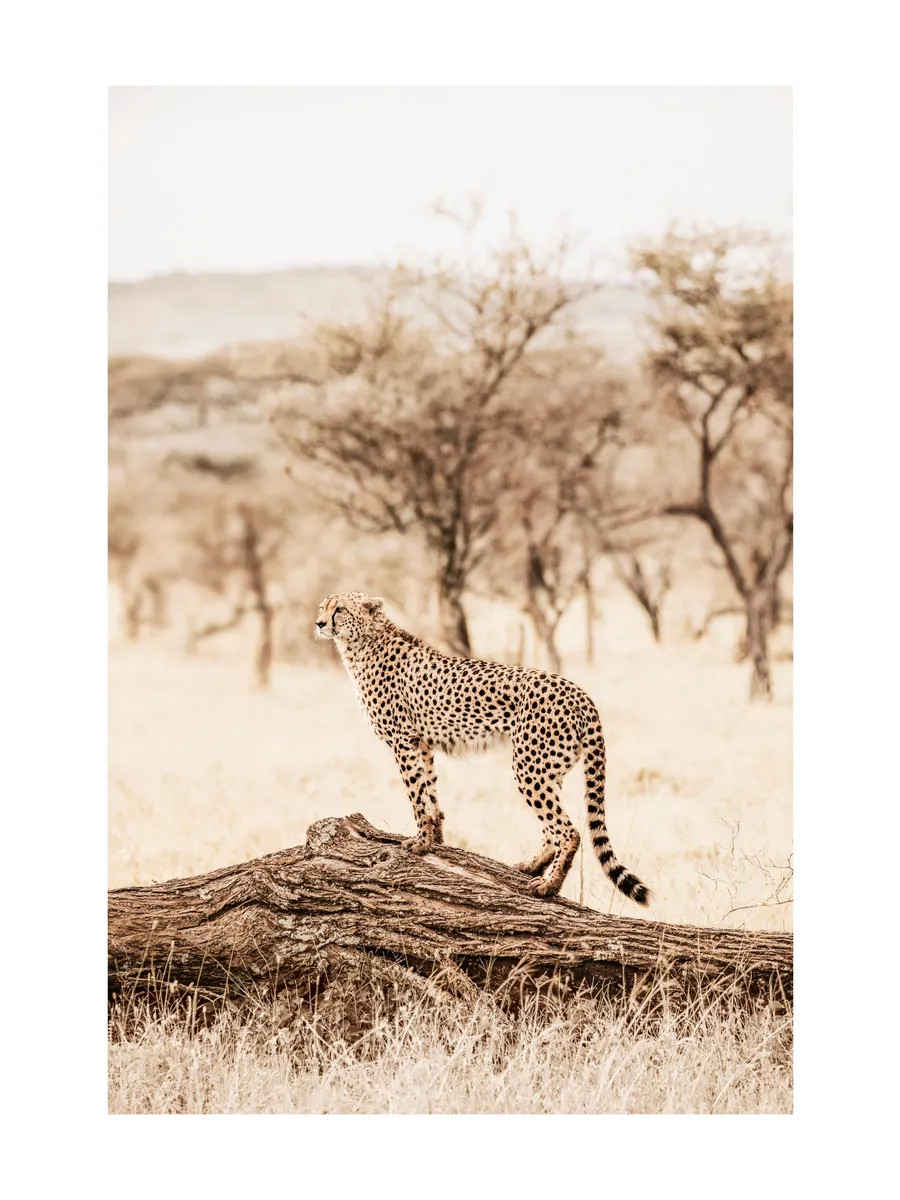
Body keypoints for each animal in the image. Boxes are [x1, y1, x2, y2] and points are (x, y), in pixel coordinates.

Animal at [315, 590, 650, 904]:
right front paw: (435, 839)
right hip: (549, 767)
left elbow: (416, 795)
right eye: (323, 607)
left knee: (567, 831)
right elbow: (430, 792)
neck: (363, 643)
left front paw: (419, 842)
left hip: (529, 767)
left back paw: (548, 885)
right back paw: (531, 867)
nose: (319, 623)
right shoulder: (422, 743)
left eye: (339, 609)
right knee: (552, 828)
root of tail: (579, 692)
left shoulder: (403, 740)